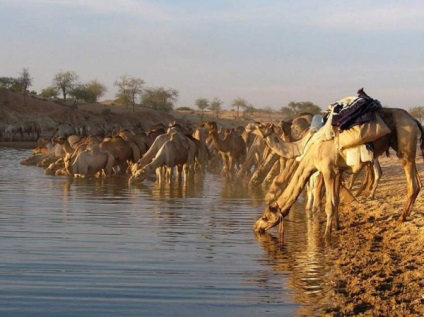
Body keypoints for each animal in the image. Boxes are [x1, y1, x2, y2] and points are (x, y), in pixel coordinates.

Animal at [255, 107, 424, 236]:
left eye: (266, 217)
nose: (256, 227)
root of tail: (413, 120)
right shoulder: (338, 170)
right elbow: (335, 200)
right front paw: (336, 226)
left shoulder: (326, 170)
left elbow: (327, 202)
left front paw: (326, 234)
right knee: (417, 182)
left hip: (405, 144)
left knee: (411, 183)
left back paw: (401, 217)